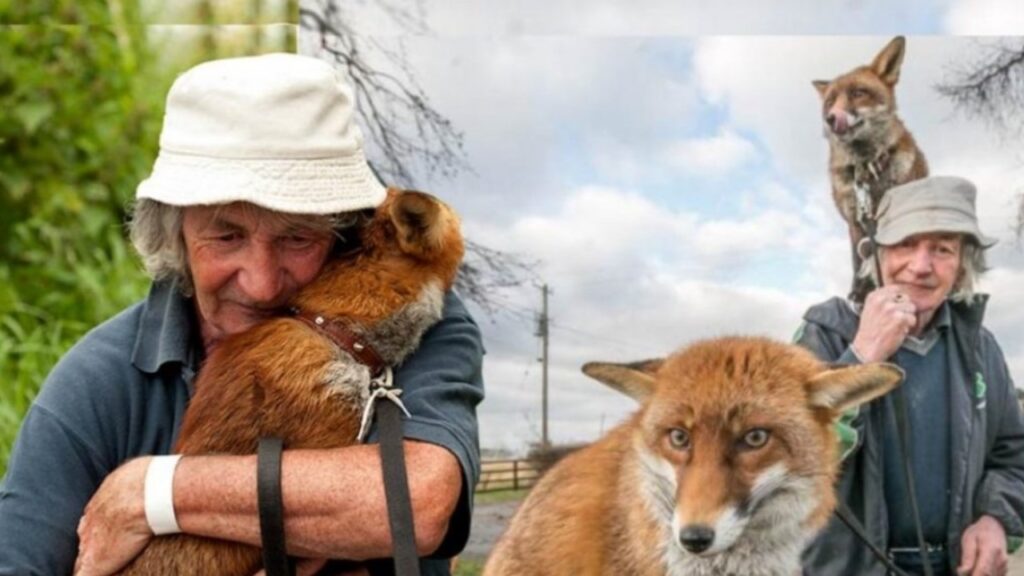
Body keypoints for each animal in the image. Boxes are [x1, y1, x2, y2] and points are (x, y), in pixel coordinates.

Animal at [815, 35, 929, 297]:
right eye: (830, 102)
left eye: (858, 93)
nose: (830, 119)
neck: (866, 168)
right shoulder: (855, 221)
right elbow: (858, 261)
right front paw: (859, 292)